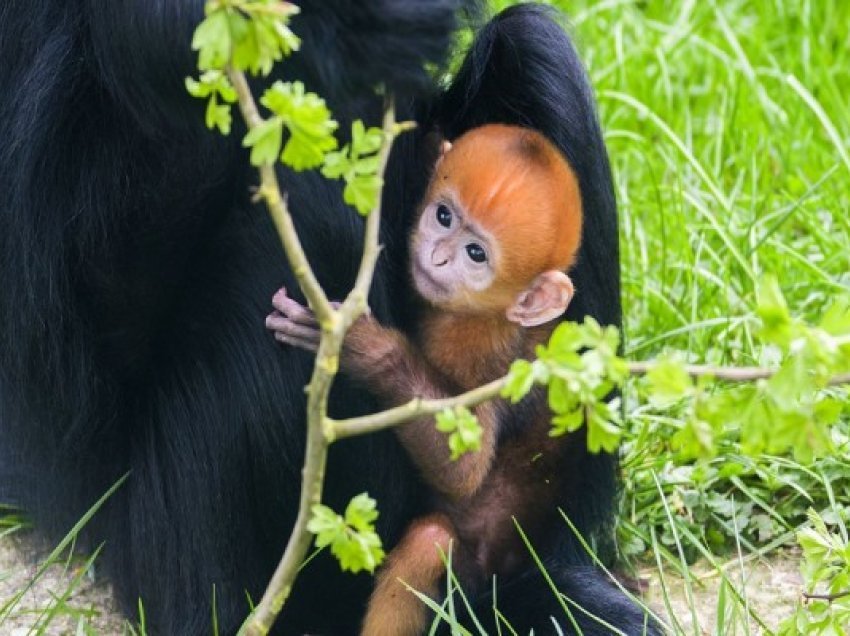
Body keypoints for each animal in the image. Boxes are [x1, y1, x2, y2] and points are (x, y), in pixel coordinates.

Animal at [266, 121, 584, 632]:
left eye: (475, 254)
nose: (436, 257)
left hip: (468, 589)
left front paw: (360, 345)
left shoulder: (482, 351)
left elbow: (465, 467)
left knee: (430, 540)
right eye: (444, 216)